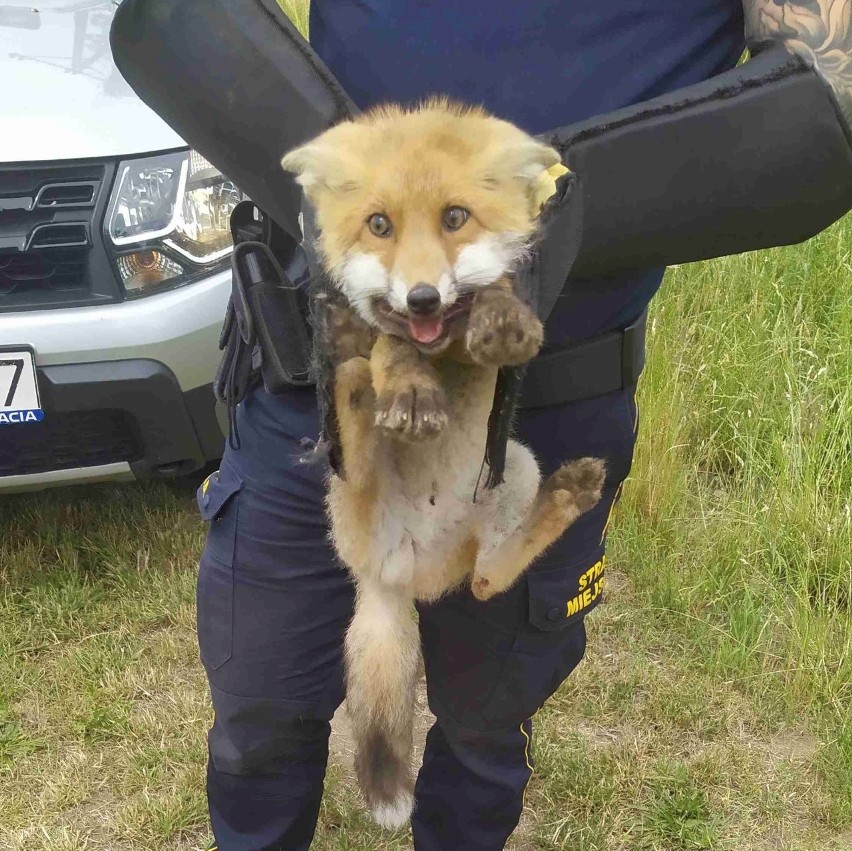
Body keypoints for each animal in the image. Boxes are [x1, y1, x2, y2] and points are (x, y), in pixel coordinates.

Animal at [282, 98, 604, 824]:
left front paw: (500, 318)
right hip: (352, 487)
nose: (423, 297)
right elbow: (387, 344)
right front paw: (405, 382)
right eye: (379, 225)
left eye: (455, 218)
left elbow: (501, 295)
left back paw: (569, 495)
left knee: (488, 577)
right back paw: (358, 387)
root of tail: (390, 578)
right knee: (353, 417)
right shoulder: (379, 329)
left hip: (514, 468)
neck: (444, 351)